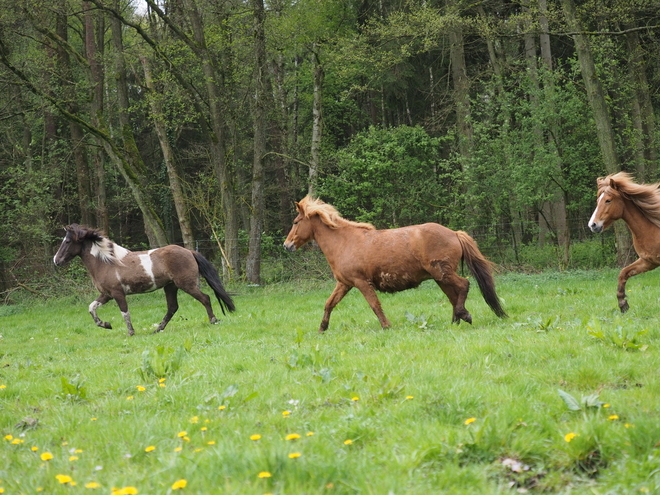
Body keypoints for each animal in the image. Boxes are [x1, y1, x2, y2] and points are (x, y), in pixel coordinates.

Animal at [54, 225, 235, 338]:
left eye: (67, 241)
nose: (56, 260)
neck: (106, 262)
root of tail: (189, 251)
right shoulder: (106, 294)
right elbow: (91, 307)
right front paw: (105, 324)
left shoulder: (118, 293)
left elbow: (125, 313)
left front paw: (130, 333)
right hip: (170, 287)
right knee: (172, 307)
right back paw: (157, 330)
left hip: (186, 285)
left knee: (205, 298)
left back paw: (213, 320)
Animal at [282, 196, 506, 332]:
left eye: (295, 222)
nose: (287, 245)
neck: (345, 242)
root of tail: (454, 233)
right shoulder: (344, 283)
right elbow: (329, 304)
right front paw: (322, 329)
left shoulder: (361, 282)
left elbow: (374, 305)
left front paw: (386, 326)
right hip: (440, 277)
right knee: (454, 295)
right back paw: (455, 322)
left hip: (443, 273)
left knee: (464, 286)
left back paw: (464, 315)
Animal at [592, 172, 660, 312]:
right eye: (597, 200)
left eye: (608, 200)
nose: (592, 225)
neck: (653, 227)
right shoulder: (648, 262)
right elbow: (623, 273)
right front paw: (623, 304)